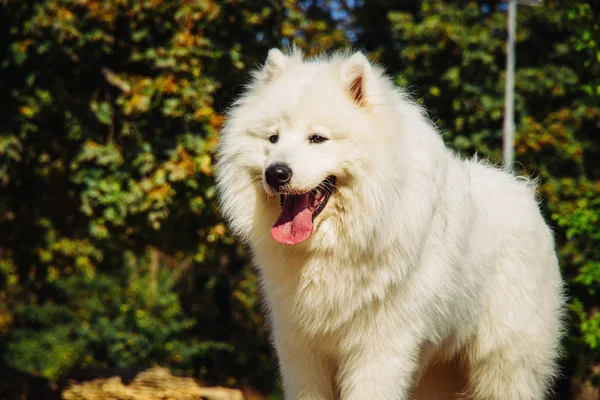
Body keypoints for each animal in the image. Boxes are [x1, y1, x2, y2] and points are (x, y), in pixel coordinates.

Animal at [214, 50, 564, 400]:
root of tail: (524, 191)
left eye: (317, 138)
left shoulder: (379, 346)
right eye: (272, 138)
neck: (335, 247)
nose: (276, 173)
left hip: (503, 365)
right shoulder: (302, 349)